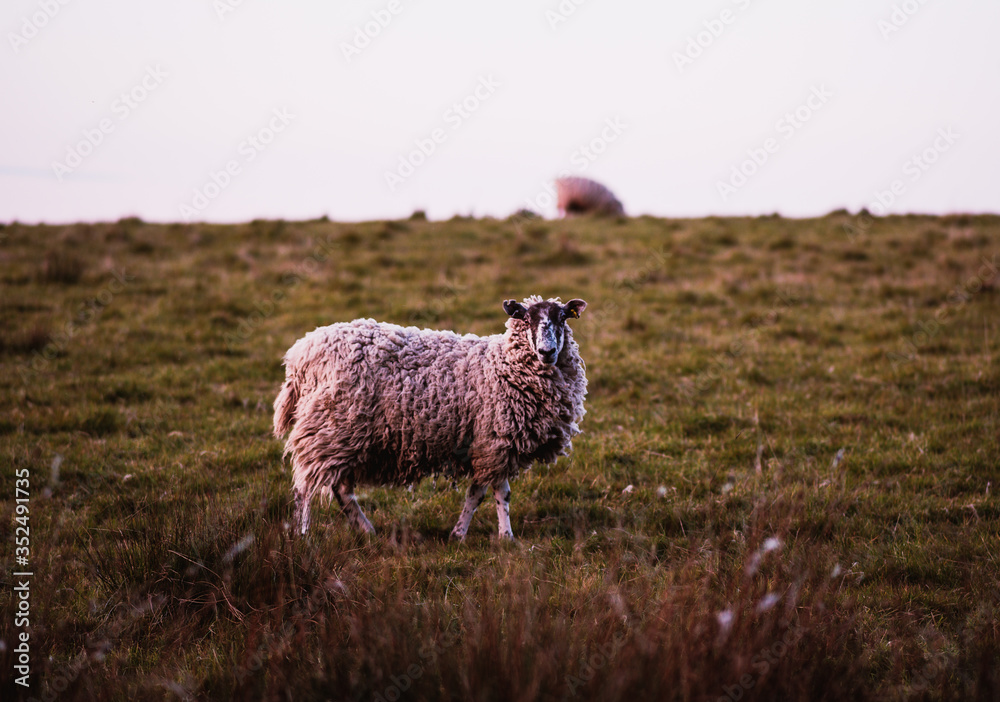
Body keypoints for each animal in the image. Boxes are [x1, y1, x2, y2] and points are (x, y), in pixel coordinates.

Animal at [273, 295, 588, 541]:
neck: (502, 365)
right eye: (526, 319)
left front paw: (473, 535)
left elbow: (485, 493)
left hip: (344, 436)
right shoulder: (494, 441)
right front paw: (493, 536)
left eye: (562, 318)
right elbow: (491, 493)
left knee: (340, 489)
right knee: (305, 486)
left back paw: (367, 531)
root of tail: (299, 356)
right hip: (329, 428)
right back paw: (303, 535)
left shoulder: (490, 444)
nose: (547, 351)